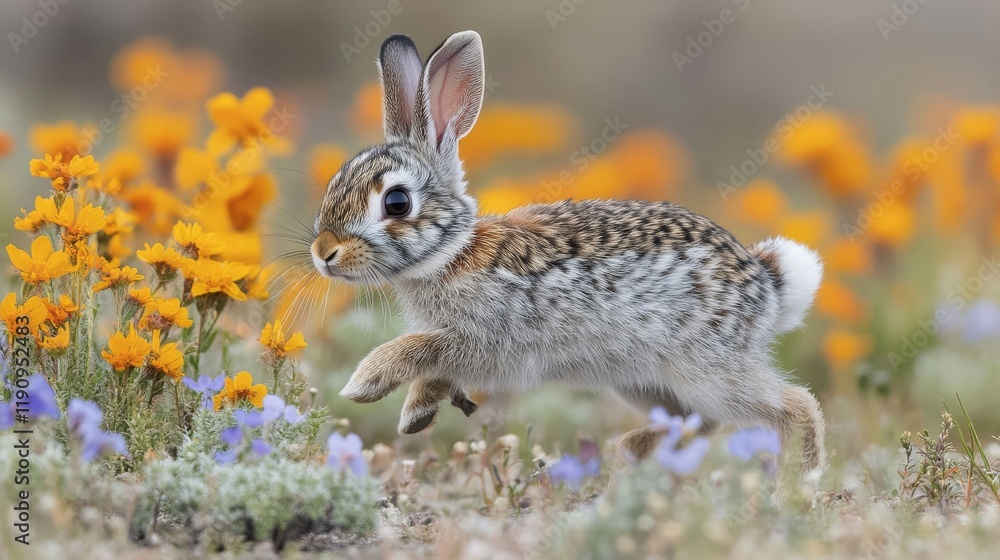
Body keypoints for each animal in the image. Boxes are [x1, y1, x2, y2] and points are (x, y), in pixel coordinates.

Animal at [311, 30, 826, 476]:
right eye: (335, 183)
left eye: (396, 202)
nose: (323, 252)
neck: (452, 254)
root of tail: (769, 285)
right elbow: (432, 369)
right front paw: (415, 414)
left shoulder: (486, 339)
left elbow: (420, 348)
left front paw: (365, 383)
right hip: (640, 379)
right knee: (699, 421)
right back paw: (632, 448)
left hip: (707, 369)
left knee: (791, 407)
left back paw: (795, 486)